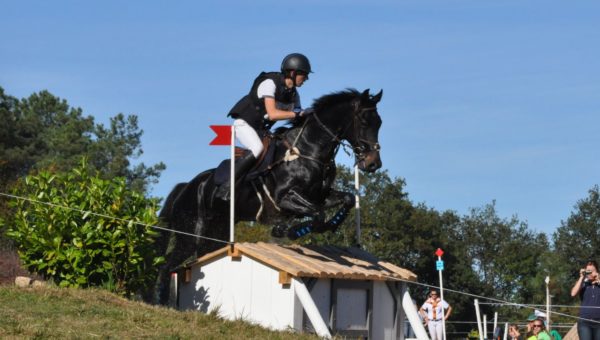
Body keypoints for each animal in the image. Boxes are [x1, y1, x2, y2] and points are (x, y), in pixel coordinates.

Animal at [152, 89, 382, 304]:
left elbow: (347, 200)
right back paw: (160, 301)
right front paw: (290, 230)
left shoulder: (320, 195)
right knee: (166, 264)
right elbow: (317, 214)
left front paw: (329, 224)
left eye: (379, 123)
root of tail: (187, 187)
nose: (373, 164)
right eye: (364, 121)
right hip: (192, 234)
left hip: (216, 234)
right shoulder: (285, 198)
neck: (309, 150)